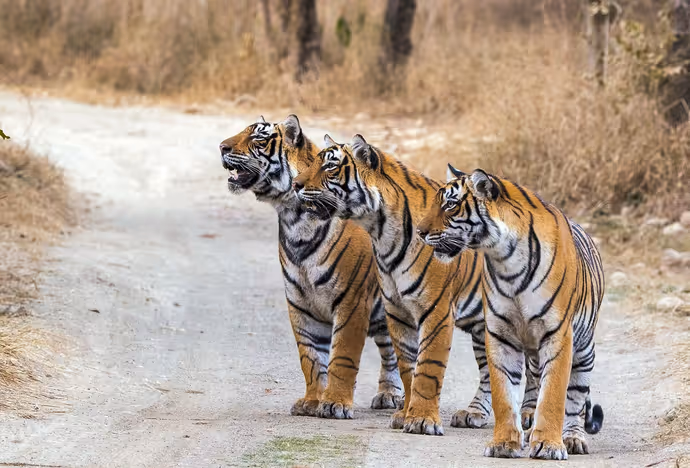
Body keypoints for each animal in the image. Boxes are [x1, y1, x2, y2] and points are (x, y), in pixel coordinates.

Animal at [219, 116, 404, 419]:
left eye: (258, 139)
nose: (222, 147)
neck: (294, 218)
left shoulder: (352, 301)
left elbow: (342, 356)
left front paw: (336, 403)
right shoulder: (299, 302)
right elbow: (311, 358)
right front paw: (312, 402)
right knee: (391, 350)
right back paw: (389, 395)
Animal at [292, 134, 539, 435]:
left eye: (330, 167)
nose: (295, 185)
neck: (381, 232)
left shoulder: (436, 311)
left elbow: (428, 367)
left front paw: (422, 420)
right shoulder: (398, 310)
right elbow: (408, 367)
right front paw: (406, 414)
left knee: (534, 369)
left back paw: (529, 414)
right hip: (485, 326)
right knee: (488, 371)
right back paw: (473, 413)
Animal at [417, 165, 605, 459]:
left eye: (450, 205)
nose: (419, 232)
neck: (505, 259)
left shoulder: (558, 336)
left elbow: (553, 396)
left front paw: (549, 445)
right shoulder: (500, 334)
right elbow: (503, 394)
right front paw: (504, 444)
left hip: (584, 350)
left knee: (574, 400)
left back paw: (572, 438)